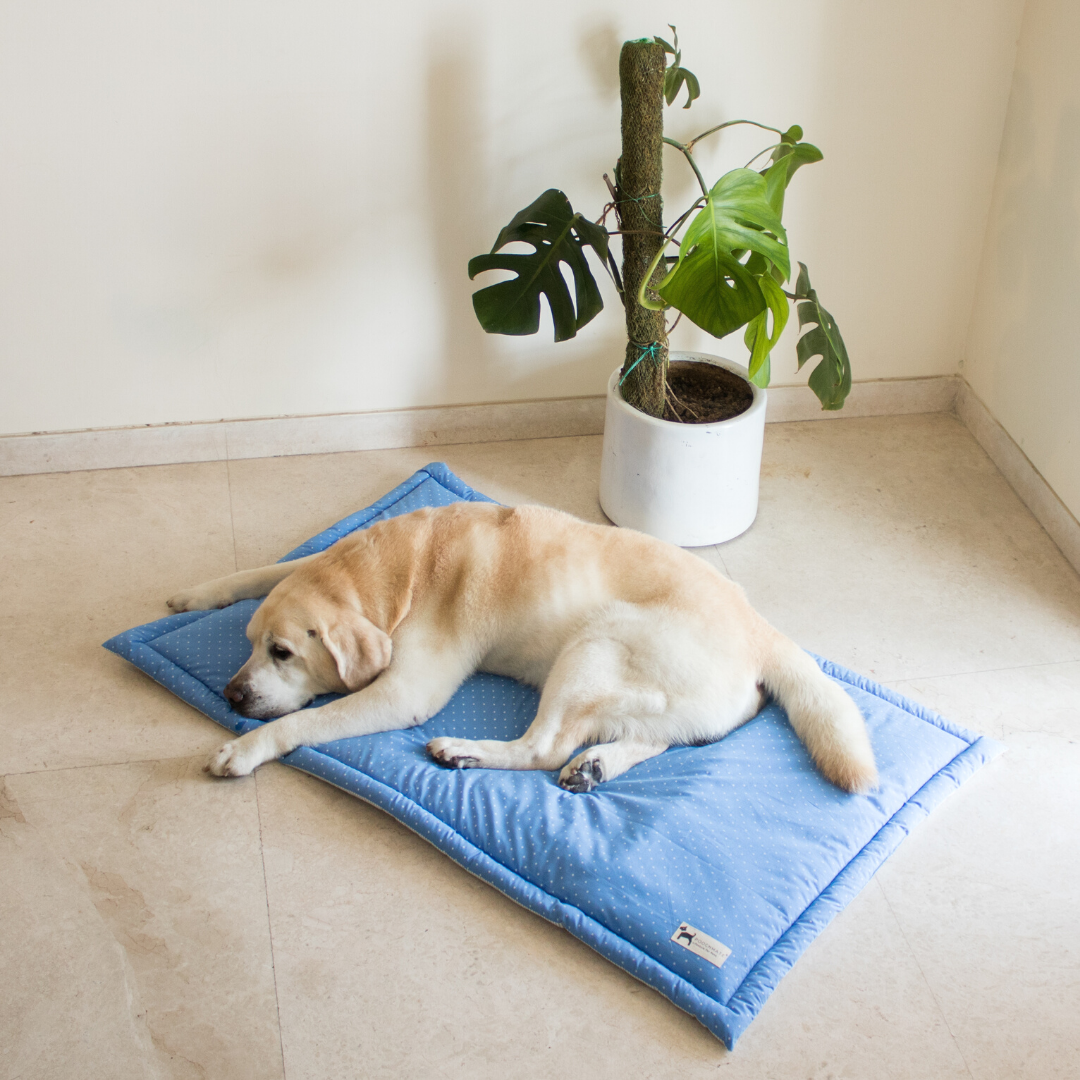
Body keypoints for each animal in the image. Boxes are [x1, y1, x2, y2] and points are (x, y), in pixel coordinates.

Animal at [168, 498, 876, 794]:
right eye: (252, 643)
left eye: (283, 654)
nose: (231, 692)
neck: (394, 576)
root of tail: (763, 628)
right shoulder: (314, 565)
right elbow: (266, 568)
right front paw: (196, 592)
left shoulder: (404, 692)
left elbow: (306, 722)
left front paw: (242, 749)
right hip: (654, 695)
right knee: (650, 740)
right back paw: (599, 765)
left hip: (593, 644)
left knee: (542, 747)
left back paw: (467, 750)